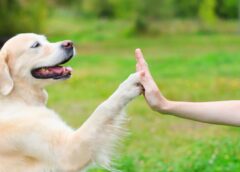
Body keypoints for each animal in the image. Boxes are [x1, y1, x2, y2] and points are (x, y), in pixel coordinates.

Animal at [0, 33, 142, 171]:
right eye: (35, 45)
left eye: (46, 40)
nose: (69, 43)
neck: (17, 97)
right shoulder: (67, 151)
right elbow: (103, 108)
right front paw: (130, 84)